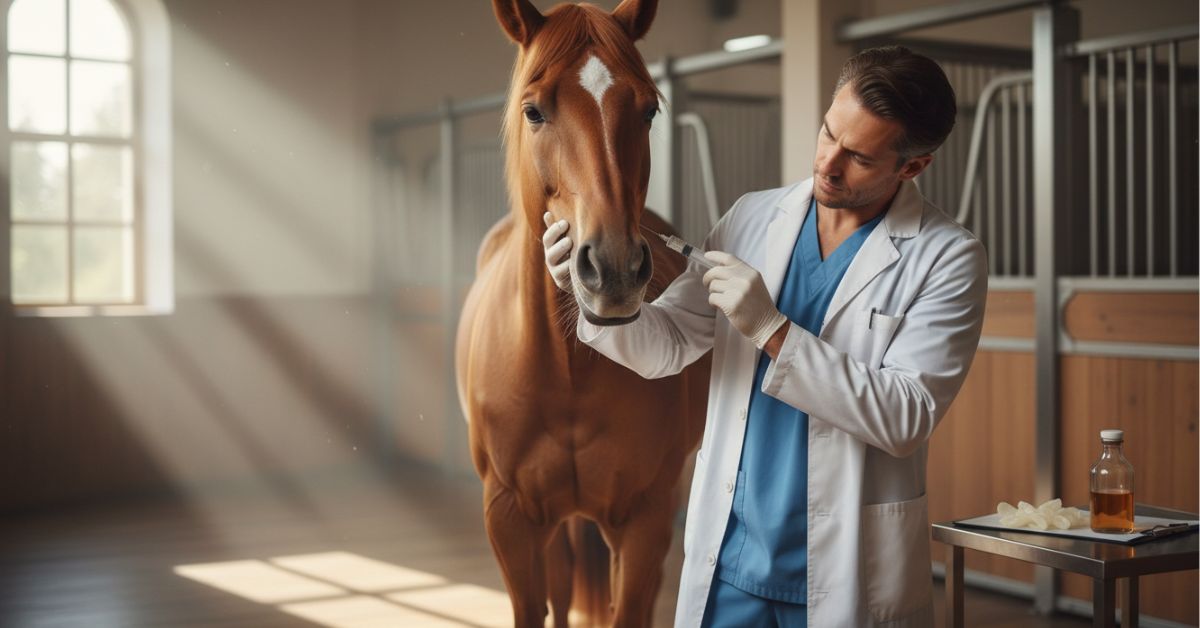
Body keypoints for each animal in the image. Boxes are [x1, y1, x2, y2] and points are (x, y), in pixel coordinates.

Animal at [455, 0, 710, 626]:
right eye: (533, 111)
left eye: (649, 110)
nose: (614, 269)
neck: (566, 373)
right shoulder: (509, 519)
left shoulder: (645, 520)